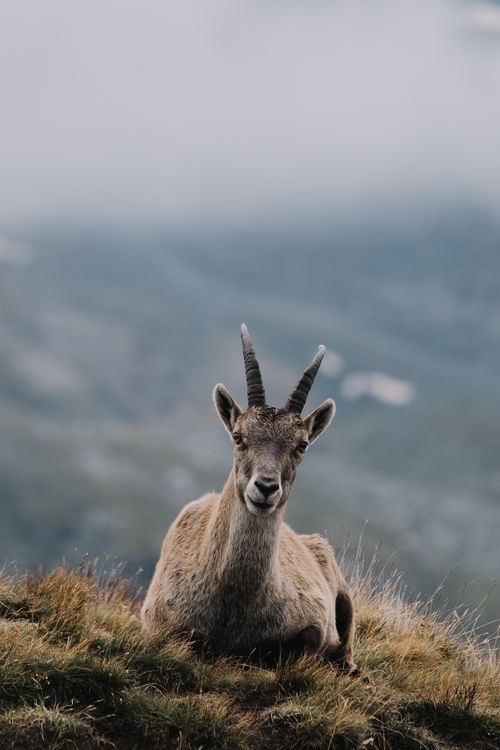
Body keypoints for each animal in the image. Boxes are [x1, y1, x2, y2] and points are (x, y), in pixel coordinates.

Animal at [141, 325, 356, 670]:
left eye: (302, 445)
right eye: (238, 436)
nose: (266, 487)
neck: (234, 603)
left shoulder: (314, 618)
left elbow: (310, 640)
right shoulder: (158, 619)